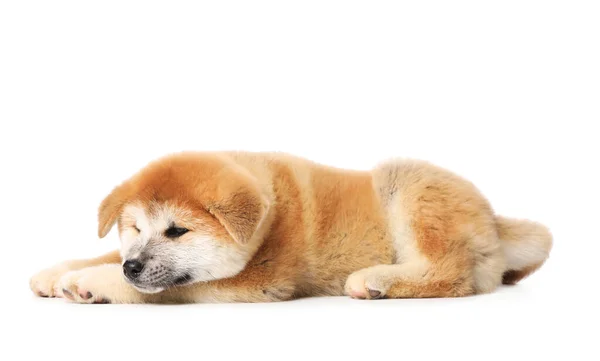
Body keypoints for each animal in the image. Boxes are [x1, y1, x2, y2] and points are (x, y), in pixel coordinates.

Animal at [29, 150, 552, 302]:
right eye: (135, 229)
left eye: (177, 231)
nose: (133, 266)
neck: (273, 214)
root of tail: (493, 220)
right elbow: (103, 254)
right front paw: (58, 271)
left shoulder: (259, 282)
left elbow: (167, 289)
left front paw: (91, 281)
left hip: (407, 181)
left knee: (452, 274)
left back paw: (375, 280)